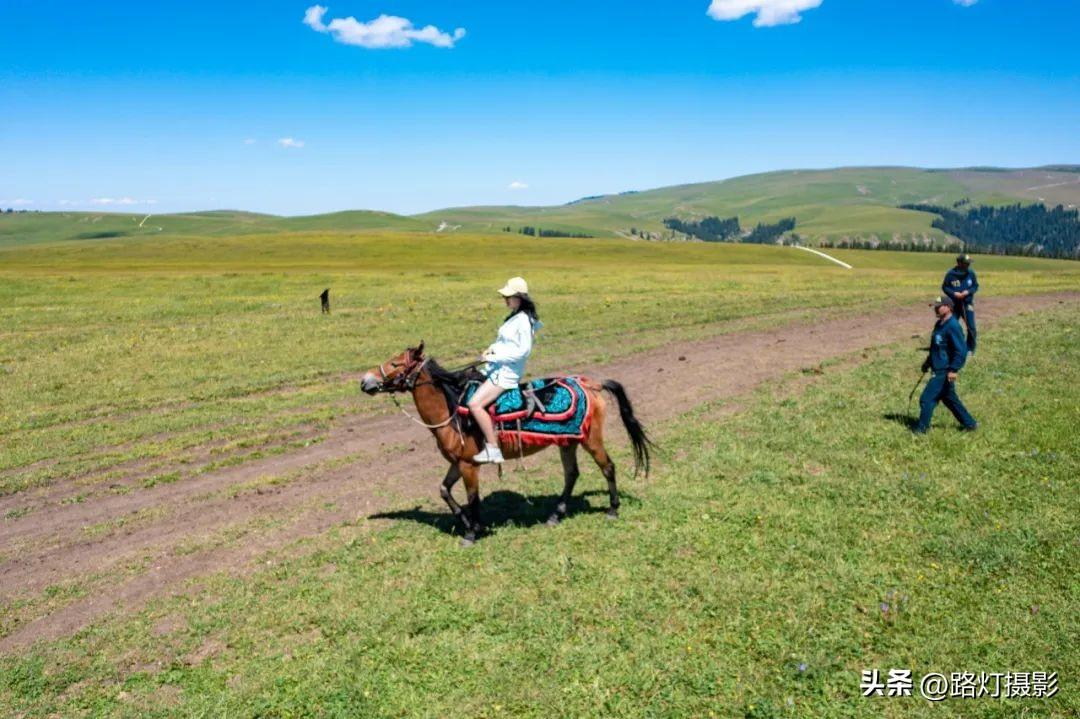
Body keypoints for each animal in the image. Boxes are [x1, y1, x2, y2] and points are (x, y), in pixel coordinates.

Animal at [360, 341, 648, 544]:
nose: (365, 381)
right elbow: (444, 491)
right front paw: (466, 522)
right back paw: (555, 515)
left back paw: (612, 510)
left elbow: (473, 497)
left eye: (395, 363)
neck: (451, 410)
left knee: (608, 467)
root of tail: (593, 385)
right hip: (568, 442)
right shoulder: (457, 462)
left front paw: (472, 532)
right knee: (571, 474)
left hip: (592, 440)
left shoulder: (469, 466)